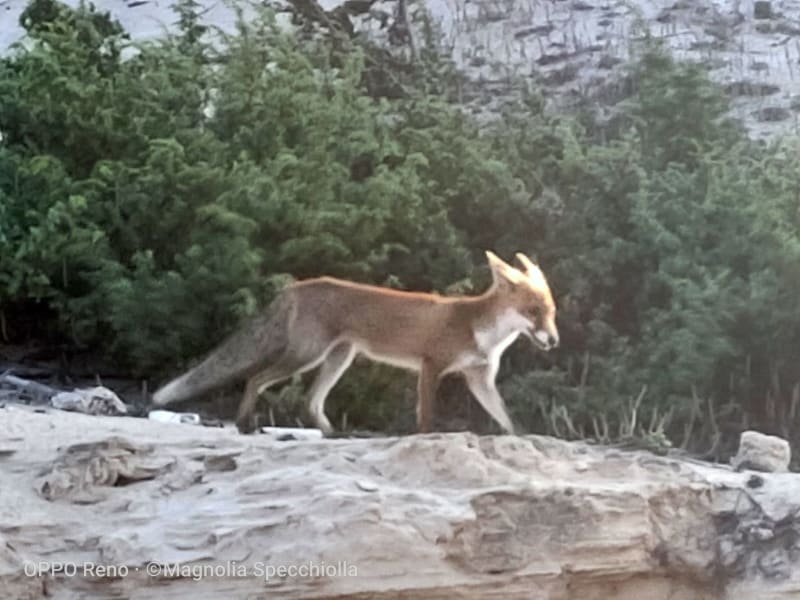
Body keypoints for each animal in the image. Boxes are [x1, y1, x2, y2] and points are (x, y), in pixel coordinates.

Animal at [151, 251, 559, 435]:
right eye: (533, 312)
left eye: (551, 312)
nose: (554, 341)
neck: (480, 330)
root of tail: (297, 286)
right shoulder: (431, 365)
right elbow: (426, 418)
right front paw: (426, 439)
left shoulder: (479, 379)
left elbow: (508, 420)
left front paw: (522, 439)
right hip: (306, 355)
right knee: (255, 379)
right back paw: (244, 425)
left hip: (339, 358)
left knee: (310, 401)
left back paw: (332, 434)